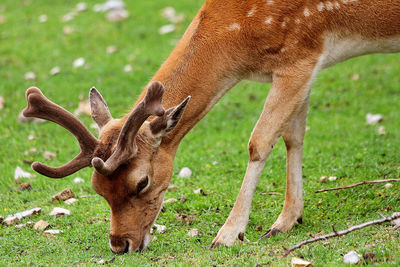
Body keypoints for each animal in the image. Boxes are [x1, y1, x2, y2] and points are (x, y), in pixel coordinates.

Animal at [24, 0, 400, 253]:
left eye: (141, 182)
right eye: (98, 189)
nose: (120, 245)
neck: (239, 39)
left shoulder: (300, 54)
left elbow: (260, 141)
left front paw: (229, 234)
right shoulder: (301, 66)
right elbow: (293, 137)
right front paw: (287, 220)